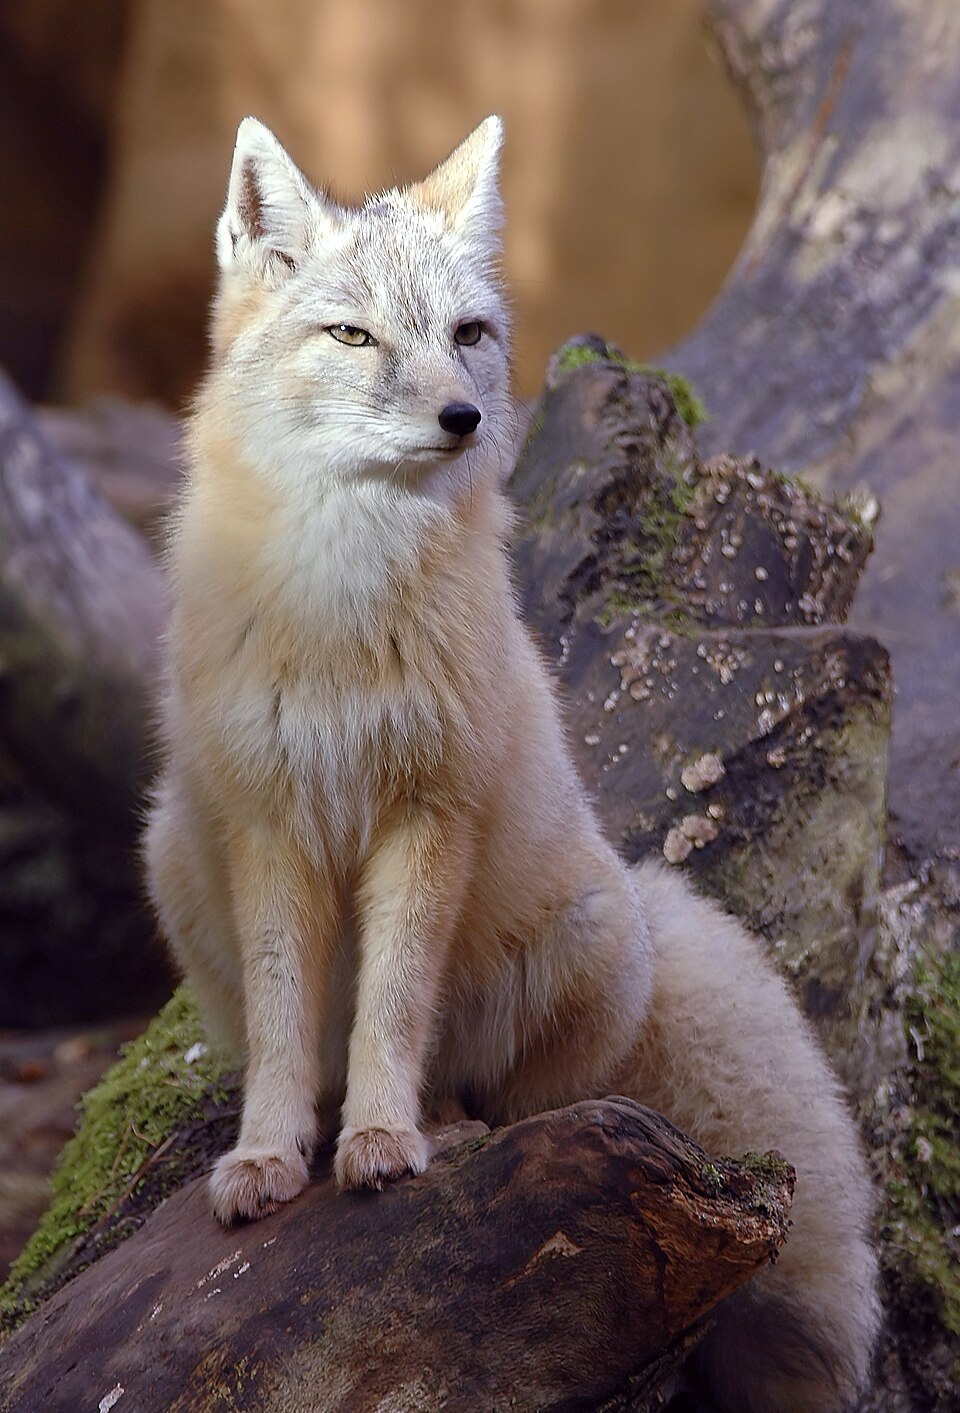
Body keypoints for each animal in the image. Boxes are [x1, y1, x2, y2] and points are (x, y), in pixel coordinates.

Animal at [143, 115, 879, 1412]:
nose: (462, 420)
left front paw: (383, 1142)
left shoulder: (426, 812)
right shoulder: (268, 820)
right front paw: (269, 1157)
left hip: (586, 940)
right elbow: (286, 1027)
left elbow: (393, 1001)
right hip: (173, 857)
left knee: (500, 1096)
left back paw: (438, 1123)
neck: (341, 606)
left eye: (469, 338)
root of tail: (642, 891)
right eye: (354, 336)